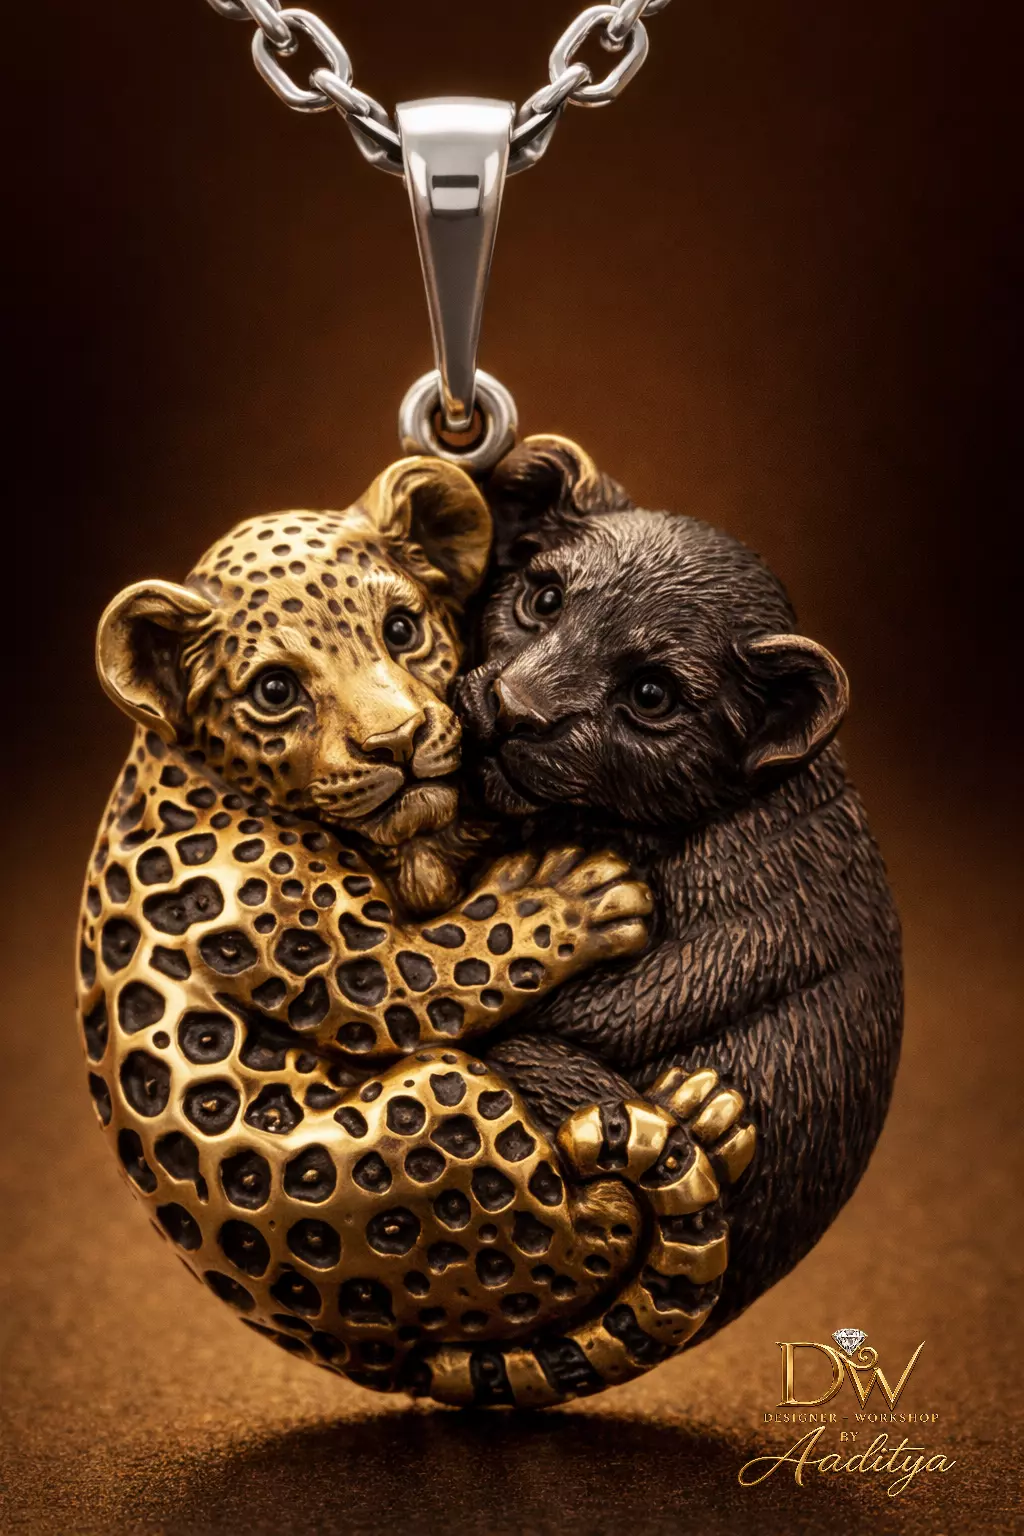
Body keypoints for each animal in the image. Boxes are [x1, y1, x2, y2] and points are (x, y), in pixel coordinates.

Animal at [77, 456, 732, 1406]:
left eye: (400, 627)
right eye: (275, 689)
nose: (397, 741)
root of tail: (363, 1347)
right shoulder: (333, 954)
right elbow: (443, 964)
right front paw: (575, 891)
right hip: (443, 1109)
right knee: (579, 1236)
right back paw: (683, 1127)